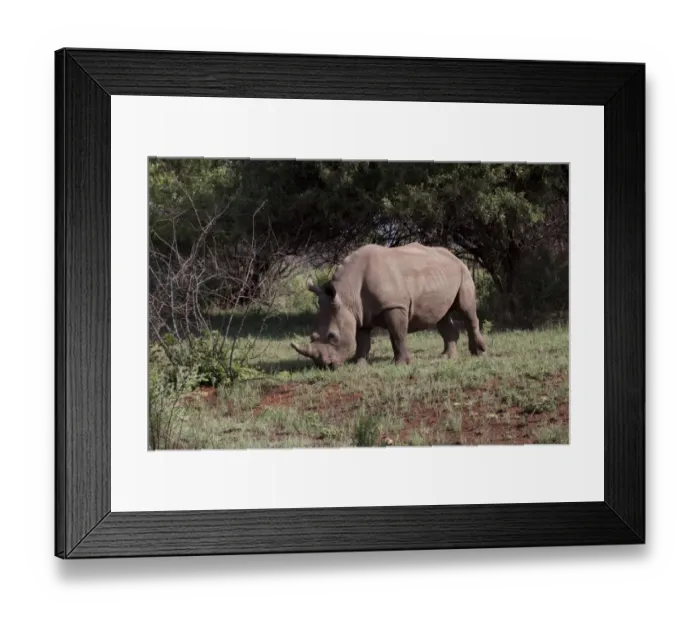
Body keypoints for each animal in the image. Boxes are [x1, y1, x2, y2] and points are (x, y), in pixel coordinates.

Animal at [290, 242, 486, 369]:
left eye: (332, 336)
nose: (324, 365)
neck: (346, 295)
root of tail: (454, 256)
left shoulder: (394, 306)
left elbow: (397, 335)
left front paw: (400, 364)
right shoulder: (359, 313)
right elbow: (362, 340)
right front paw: (359, 364)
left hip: (464, 272)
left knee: (467, 311)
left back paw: (478, 353)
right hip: (441, 275)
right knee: (442, 317)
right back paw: (447, 357)